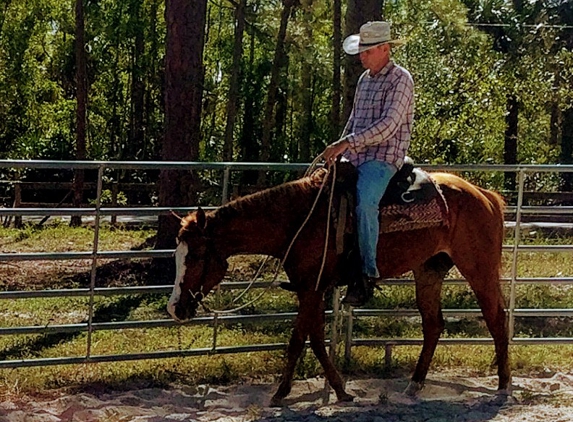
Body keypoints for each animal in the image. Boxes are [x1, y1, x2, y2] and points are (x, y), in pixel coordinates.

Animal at [166, 167, 510, 406]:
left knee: (496, 318)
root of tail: (485, 195)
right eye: (176, 254)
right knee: (433, 325)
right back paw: (415, 384)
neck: (299, 221)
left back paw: (504, 385)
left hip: (479, 269)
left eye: (195, 255)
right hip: (428, 270)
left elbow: (299, 340)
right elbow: (314, 339)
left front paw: (281, 392)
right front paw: (339, 390)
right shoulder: (311, 288)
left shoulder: (310, 288)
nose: (175, 308)